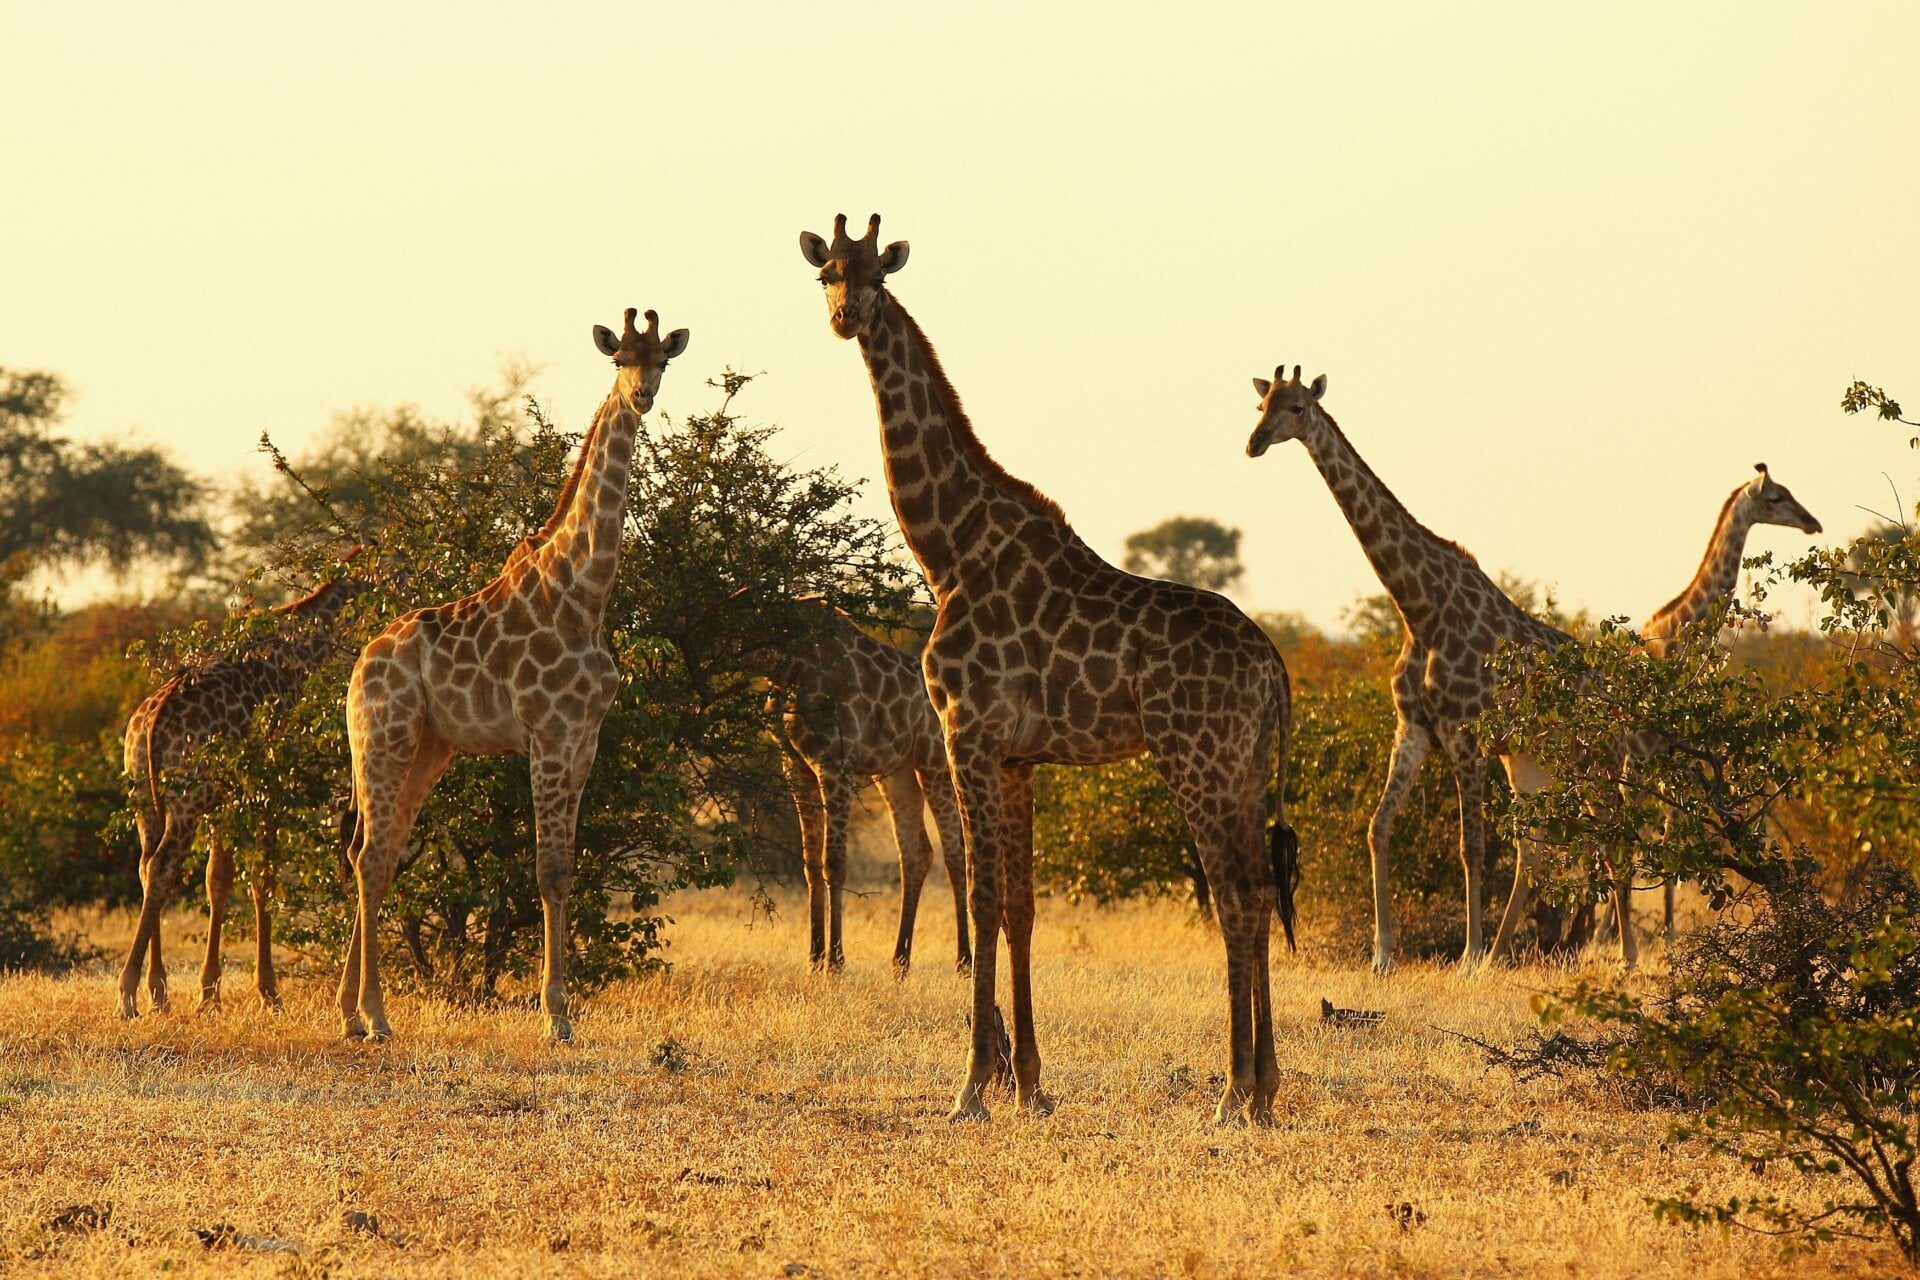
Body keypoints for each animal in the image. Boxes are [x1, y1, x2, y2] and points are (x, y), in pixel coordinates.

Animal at [118, 570, 365, 1019]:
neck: (297, 657)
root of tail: (148, 724)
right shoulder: (270, 784)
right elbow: (262, 876)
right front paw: (269, 991)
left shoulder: (229, 797)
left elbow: (218, 878)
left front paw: (209, 994)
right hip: (187, 799)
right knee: (162, 866)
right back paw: (129, 992)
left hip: (145, 797)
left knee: (146, 868)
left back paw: (158, 991)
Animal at [336, 307, 687, 1043]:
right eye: (620, 359)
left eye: (662, 360)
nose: (643, 395)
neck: (585, 592)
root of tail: (356, 668)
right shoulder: (548, 733)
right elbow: (547, 870)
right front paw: (556, 1016)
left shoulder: (585, 738)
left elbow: (567, 869)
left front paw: (562, 1009)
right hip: (384, 739)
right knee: (371, 856)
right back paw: (376, 1017)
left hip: (428, 748)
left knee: (378, 854)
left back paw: (351, 1013)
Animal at [767, 597, 971, 974]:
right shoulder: (794, 765)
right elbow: (810, 862)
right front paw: (814, 958)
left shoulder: (835, 763)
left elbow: (834, 862)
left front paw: (835, 961)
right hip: (896, 773)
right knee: (916, 852)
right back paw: (900, 962)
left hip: (934, 765)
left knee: (955, 851)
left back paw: (964, 960)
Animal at [801, 214, 1299, 1125]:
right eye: (826, 273)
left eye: (876, 276)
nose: (847, 317)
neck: (948, 550)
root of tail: (1275, 670)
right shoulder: (1019, 758)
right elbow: (1023, 909)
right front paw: (1030, 1083)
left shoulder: (967, 733)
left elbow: (981, 899)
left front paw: (970, 1088)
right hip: (1244, 765)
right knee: (1255, 889)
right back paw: (1265, 1089)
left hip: (1197, 759)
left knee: (1238, 898)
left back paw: (1235, 1093)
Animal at [1246, 366, 1571, 974]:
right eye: (1261, 404)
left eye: (1298, 407)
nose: (1254, 443)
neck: (1420, 611)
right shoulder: (1414, 730)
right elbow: (1377, 829)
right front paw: (1382, 955)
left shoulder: (1464, 734)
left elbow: (1471, 847)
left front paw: (1466, 954)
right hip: (1528, 760)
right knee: (1535, 848)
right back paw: (1506, 953)